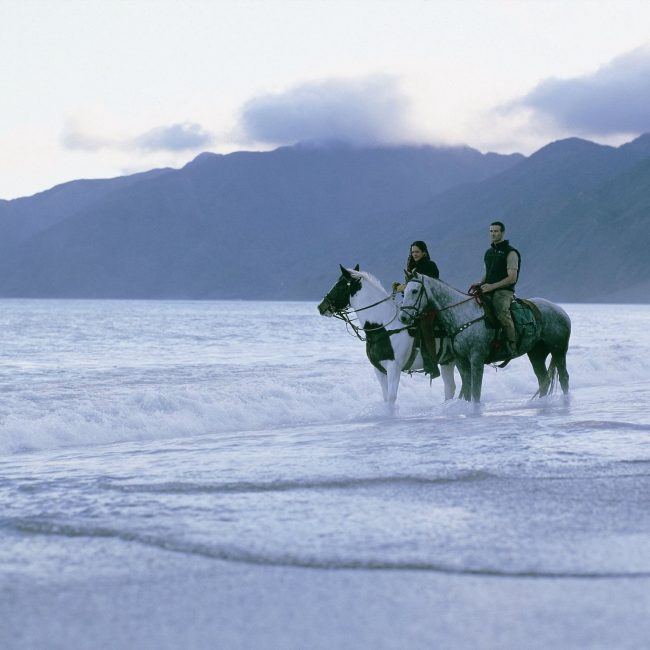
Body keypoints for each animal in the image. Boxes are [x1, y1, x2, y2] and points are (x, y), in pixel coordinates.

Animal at [316, 266, 454, 402]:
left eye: (339, 285)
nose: (320, 307)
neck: (384, 327)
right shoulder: (379, 369)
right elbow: (386, 398)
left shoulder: (394, 368)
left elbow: (391, 398)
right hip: (447, 362)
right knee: (450, 387)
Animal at [398, 272, 568, 402]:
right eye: (404, 292)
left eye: (414, 291)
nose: (403, 317)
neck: (463, 315)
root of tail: (560, 310)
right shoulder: (462, 361)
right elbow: (467, 391)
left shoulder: (476, 359)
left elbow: (476, 392)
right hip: (536, 353)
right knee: (543, 379)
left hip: (558, 351)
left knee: (564, 378)